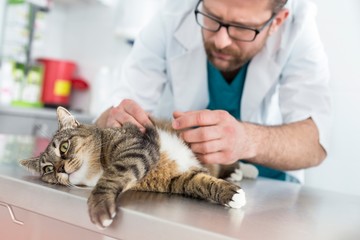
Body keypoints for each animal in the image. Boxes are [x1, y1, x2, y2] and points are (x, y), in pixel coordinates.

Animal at [19, 106, 245, 229]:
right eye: (48, 169)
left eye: (64, 147)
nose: (60, 169)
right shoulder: (178, 178)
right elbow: (200, 183)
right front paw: (230, 194)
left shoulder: (136, 148)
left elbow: (110, 178)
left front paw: (100, 205)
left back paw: (240, 170)